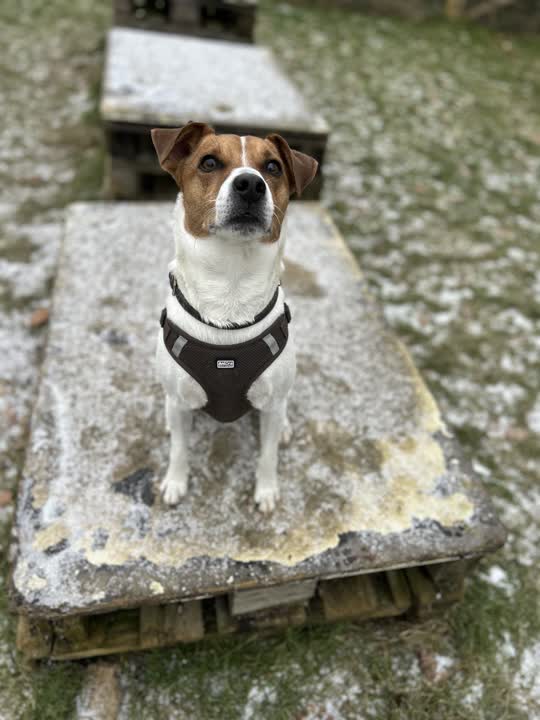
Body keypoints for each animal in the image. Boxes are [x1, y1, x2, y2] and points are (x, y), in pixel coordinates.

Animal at [152, 122, 318, 512]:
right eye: (209, 162)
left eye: (273, 167)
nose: (251, 184)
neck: (230, 293)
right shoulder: (180, 402)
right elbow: (179, 449)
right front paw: (175, 482)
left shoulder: (270, 404)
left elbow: (268, 456)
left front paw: (267, 490)